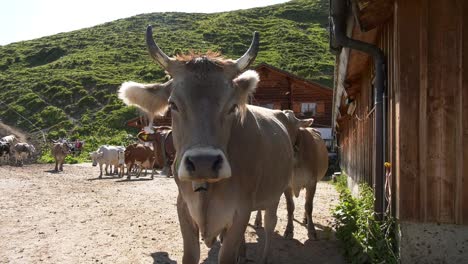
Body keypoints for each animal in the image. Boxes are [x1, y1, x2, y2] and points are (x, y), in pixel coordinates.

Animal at [118, 26, 292, 264]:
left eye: (232, 106)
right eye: (173, 104)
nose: (203, 163)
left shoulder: (241, 210)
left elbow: (228, 254)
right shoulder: (183, 208)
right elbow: (190, 255)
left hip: (277, 192)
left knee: (270, 224)